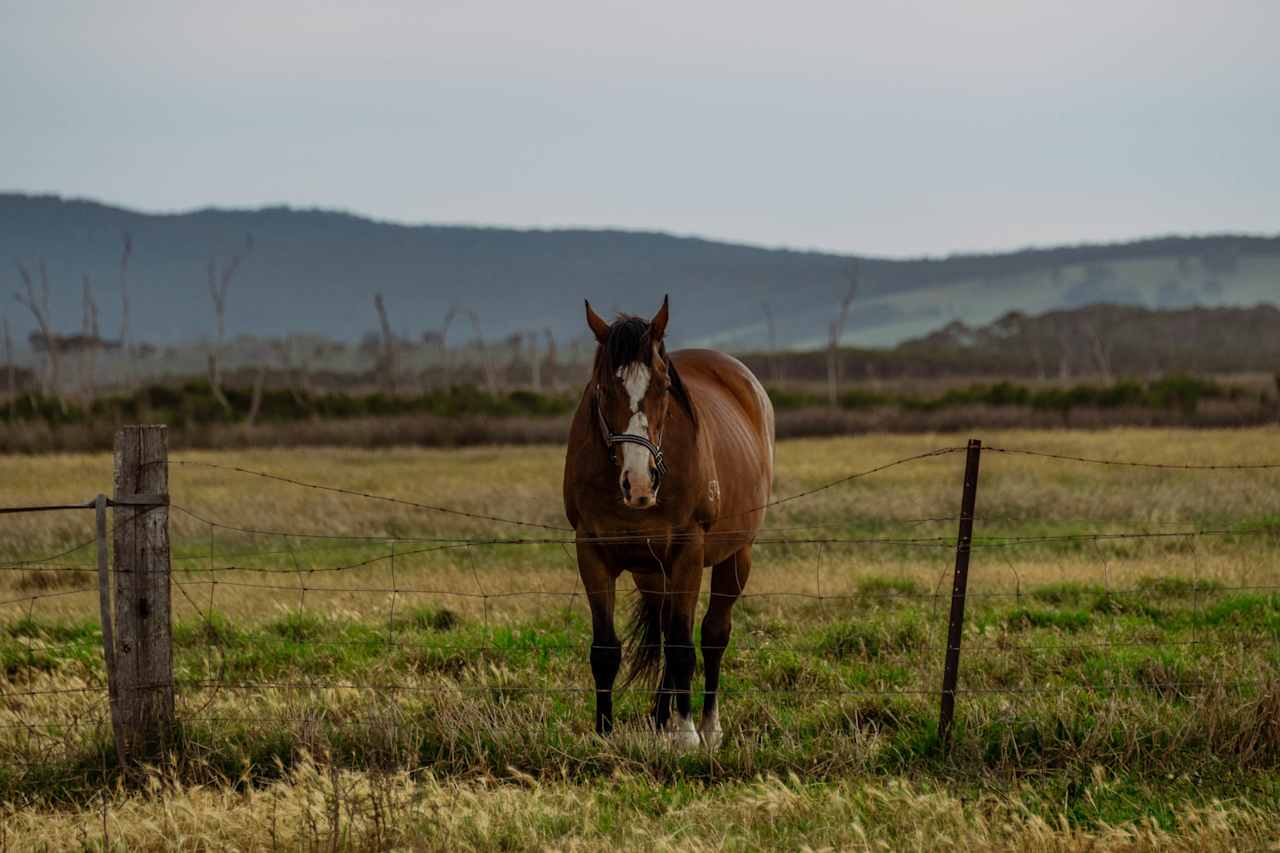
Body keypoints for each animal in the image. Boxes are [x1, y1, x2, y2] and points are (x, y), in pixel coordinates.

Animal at [565, 297, 773, 742]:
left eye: (663, 387)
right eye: (603, 388)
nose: (640, 482)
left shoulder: (687, 553)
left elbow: (683, 647)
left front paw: (687, 734)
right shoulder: (591, 551)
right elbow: (605, 649)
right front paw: (604, 734)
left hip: (735, 556)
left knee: (712, 634)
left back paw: (707, 726)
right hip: (652, 572)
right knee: (666, 629)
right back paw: (661, 720)